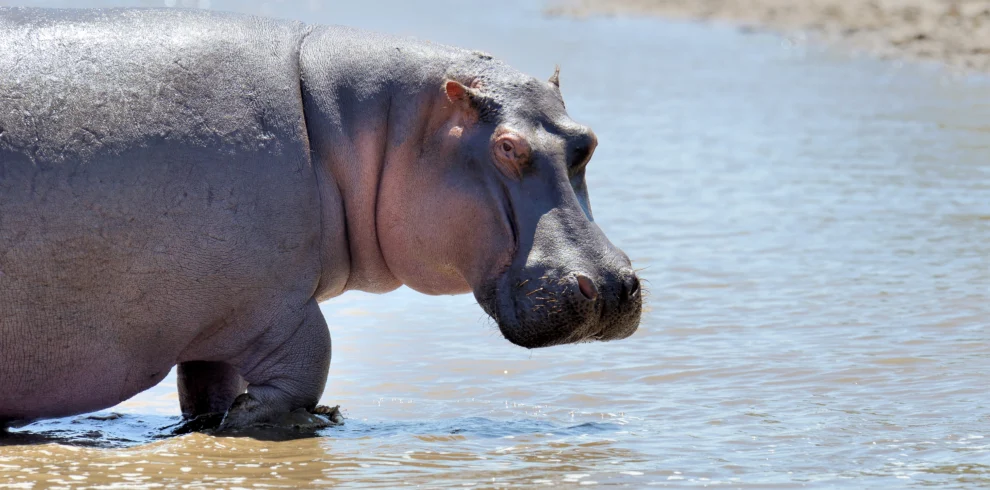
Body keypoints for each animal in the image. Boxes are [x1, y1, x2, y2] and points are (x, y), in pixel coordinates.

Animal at [0, 7, 642, 432]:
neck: (359, 126)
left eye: (588, 141)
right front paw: (270, 420)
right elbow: (311, 357)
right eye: (507, 147)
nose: (612, 285)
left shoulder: (218, 317)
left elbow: (210, 386)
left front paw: (218, 422)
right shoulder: (271, 302)